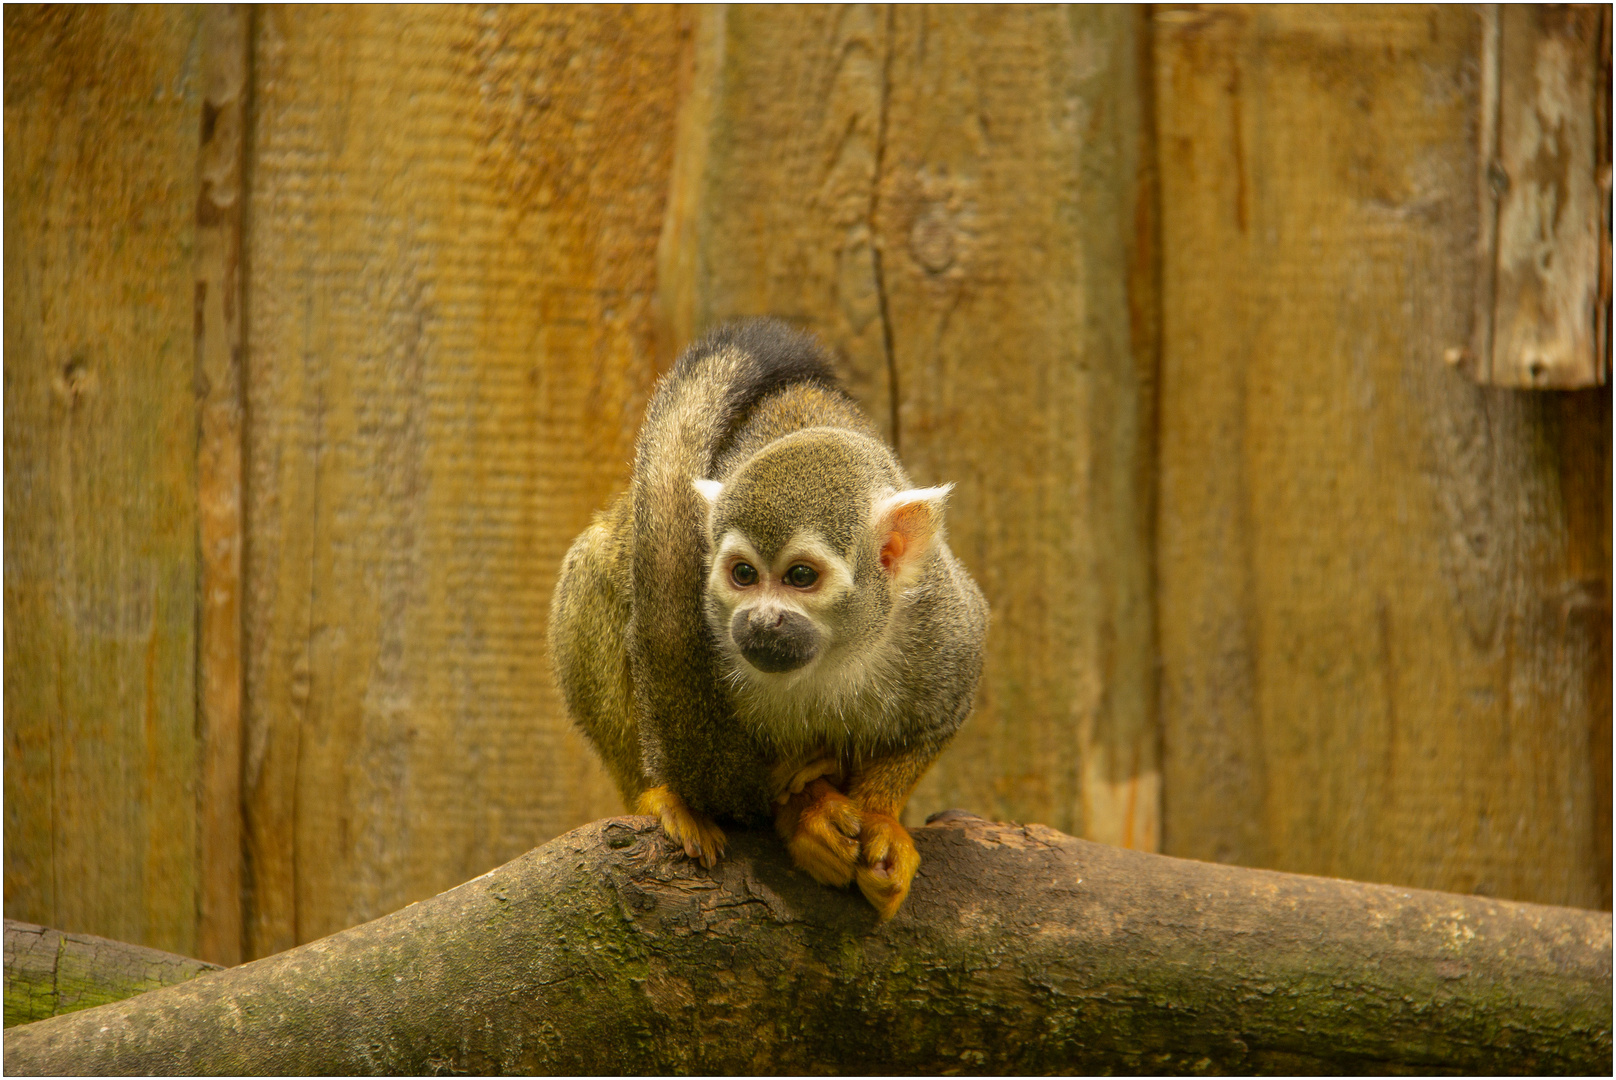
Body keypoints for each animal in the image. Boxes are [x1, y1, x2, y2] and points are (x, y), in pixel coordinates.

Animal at [552, 316, 982, 918]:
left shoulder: (942, 623)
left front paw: (879, 817)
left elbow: (940, 717)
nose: (760, 621)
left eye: (801, 577)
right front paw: (807, 814)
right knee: (596, 567)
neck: (837, 651)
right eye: (743, 574)